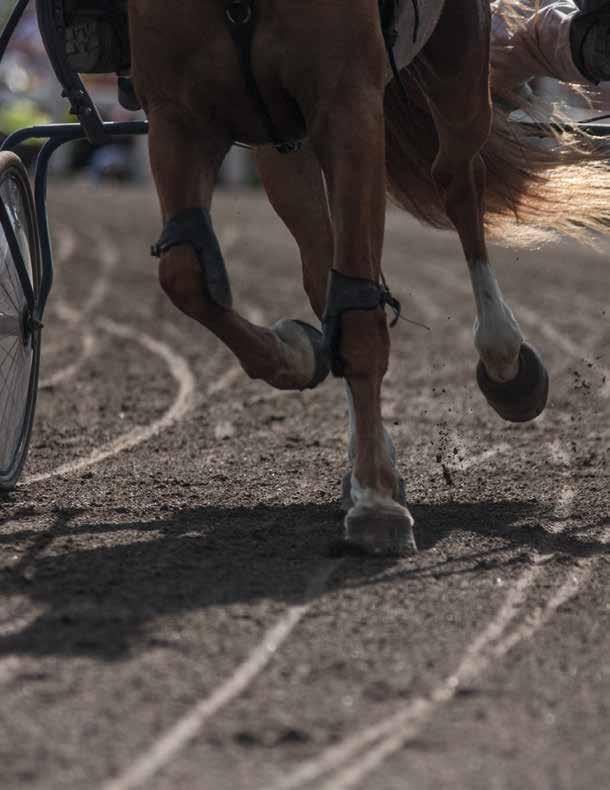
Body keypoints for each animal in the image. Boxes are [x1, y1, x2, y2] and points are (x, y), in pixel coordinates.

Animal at [126, 0, 608, 556]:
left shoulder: (348, 101)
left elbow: (359, 312)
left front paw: (377, 502)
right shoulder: (177, 115)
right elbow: (185, 276)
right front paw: (297, 354)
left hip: (457, 59)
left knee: (459, 180)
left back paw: (505, 360)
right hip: (285, 149)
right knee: (321, 273)